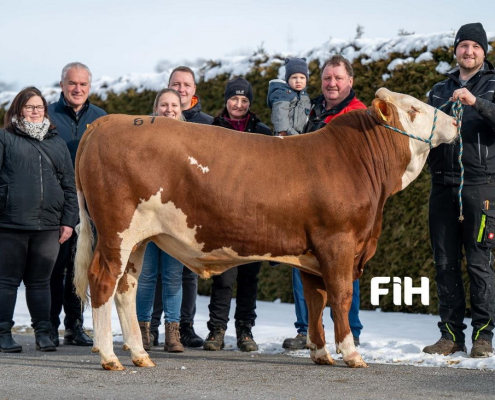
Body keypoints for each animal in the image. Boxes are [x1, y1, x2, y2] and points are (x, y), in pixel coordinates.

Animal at [73, 89, 458, 370]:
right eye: (413, 109)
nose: (455, 120)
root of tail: (105, 123)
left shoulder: (312, 253)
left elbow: (316, 300)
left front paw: (320, 353)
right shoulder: (338, 242)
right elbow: (341, 297)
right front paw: (351, 354)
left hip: (138, 239)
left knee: (126, 287)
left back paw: (140, 355)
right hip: (116, 231)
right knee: (103, 281)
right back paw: (109, 356)